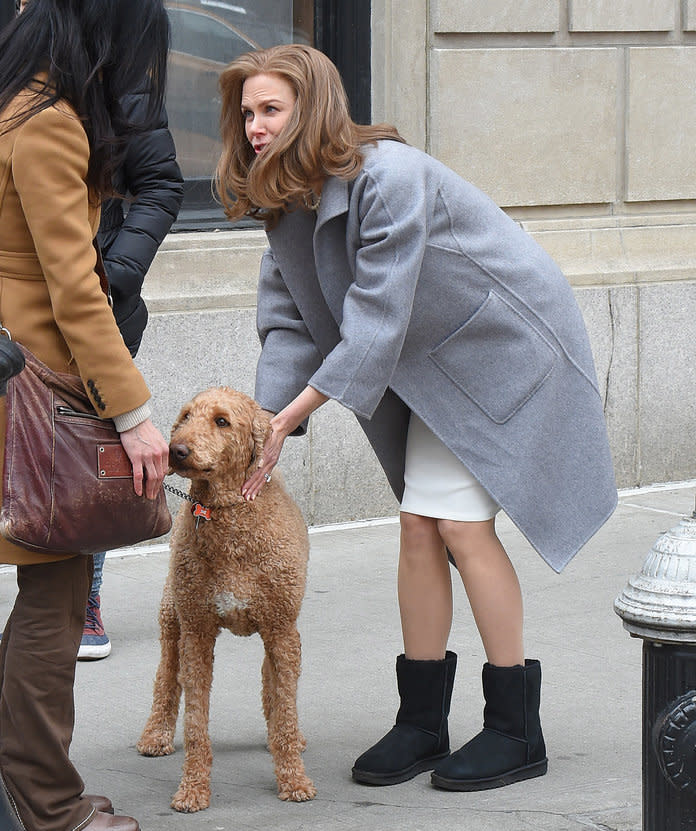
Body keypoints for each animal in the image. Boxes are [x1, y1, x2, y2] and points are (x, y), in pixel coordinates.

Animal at [137, 388, 316, 812]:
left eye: (222, 421)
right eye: (186, 416)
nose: (176, 450)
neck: (227, 511)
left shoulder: (281, 630)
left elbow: (284, 707)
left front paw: (293, 778)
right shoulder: (197, 632)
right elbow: (195, 721)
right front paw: (192, 790)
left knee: (273, 685)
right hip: (173, 617)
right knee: (165, 675)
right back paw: (156, 734)